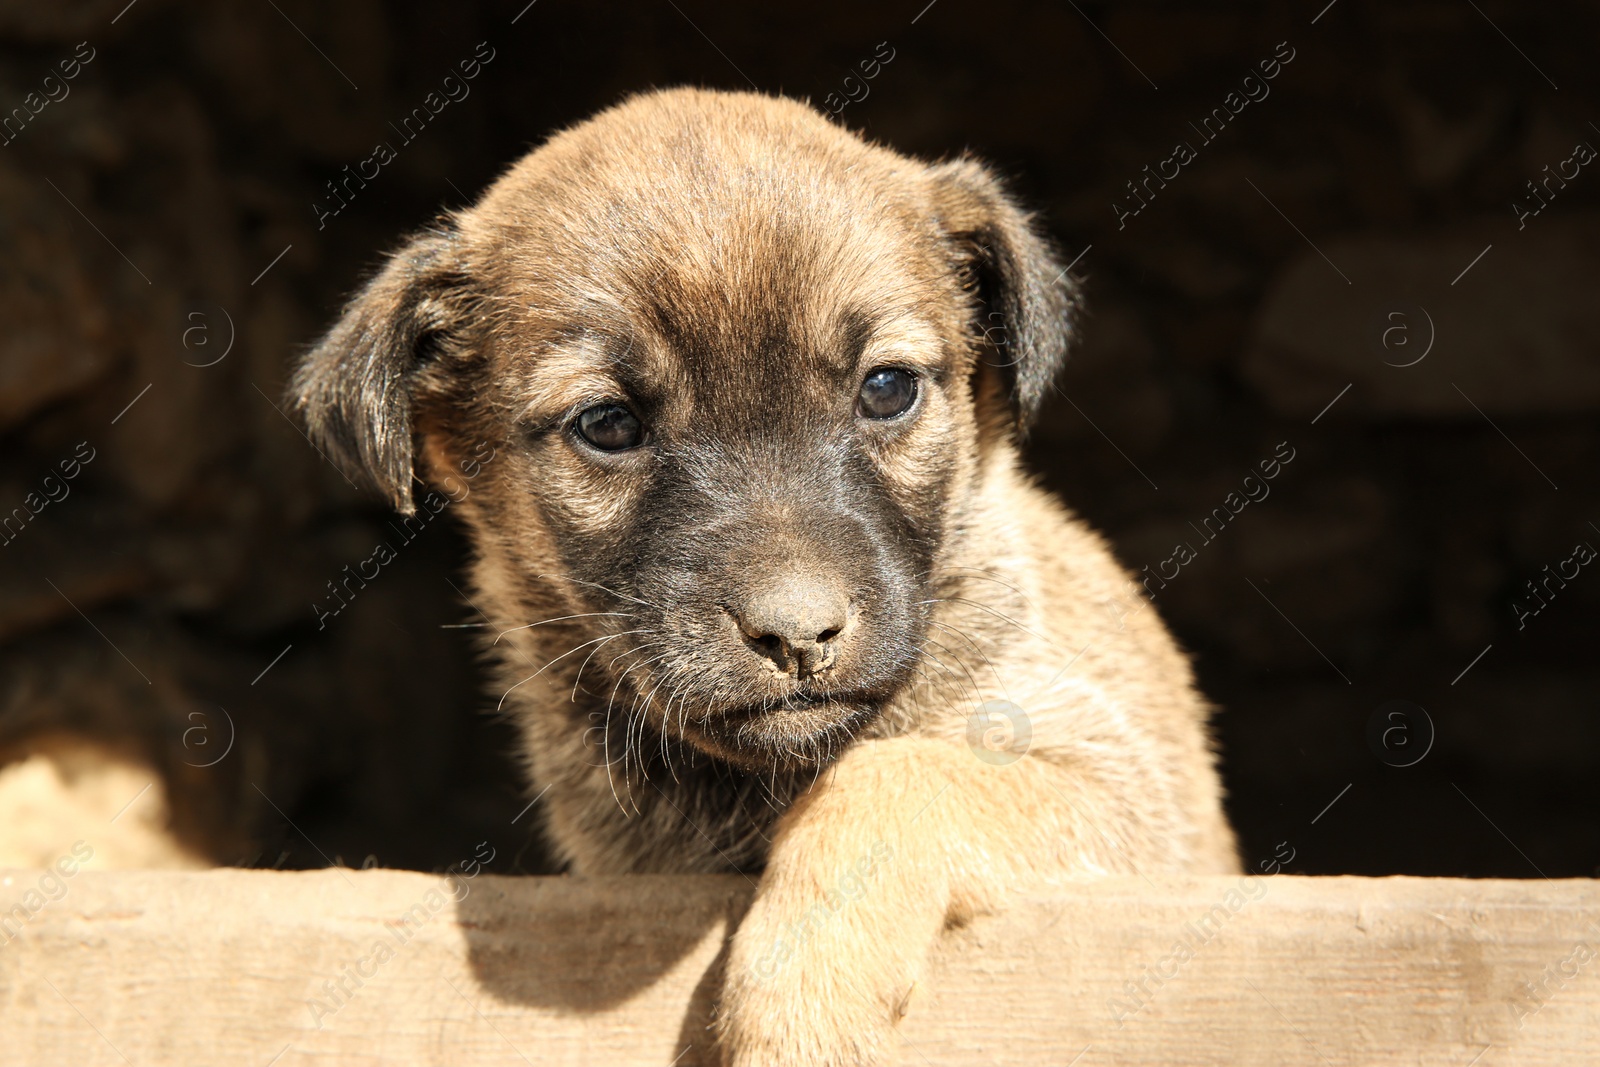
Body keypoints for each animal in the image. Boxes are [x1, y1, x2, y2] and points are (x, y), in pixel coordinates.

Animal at [291, 87, 1235, 1062]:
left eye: (888, 387)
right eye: (607, 424)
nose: (799, 635)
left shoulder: (1118, 789)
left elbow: (897, 775)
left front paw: (804, 996)